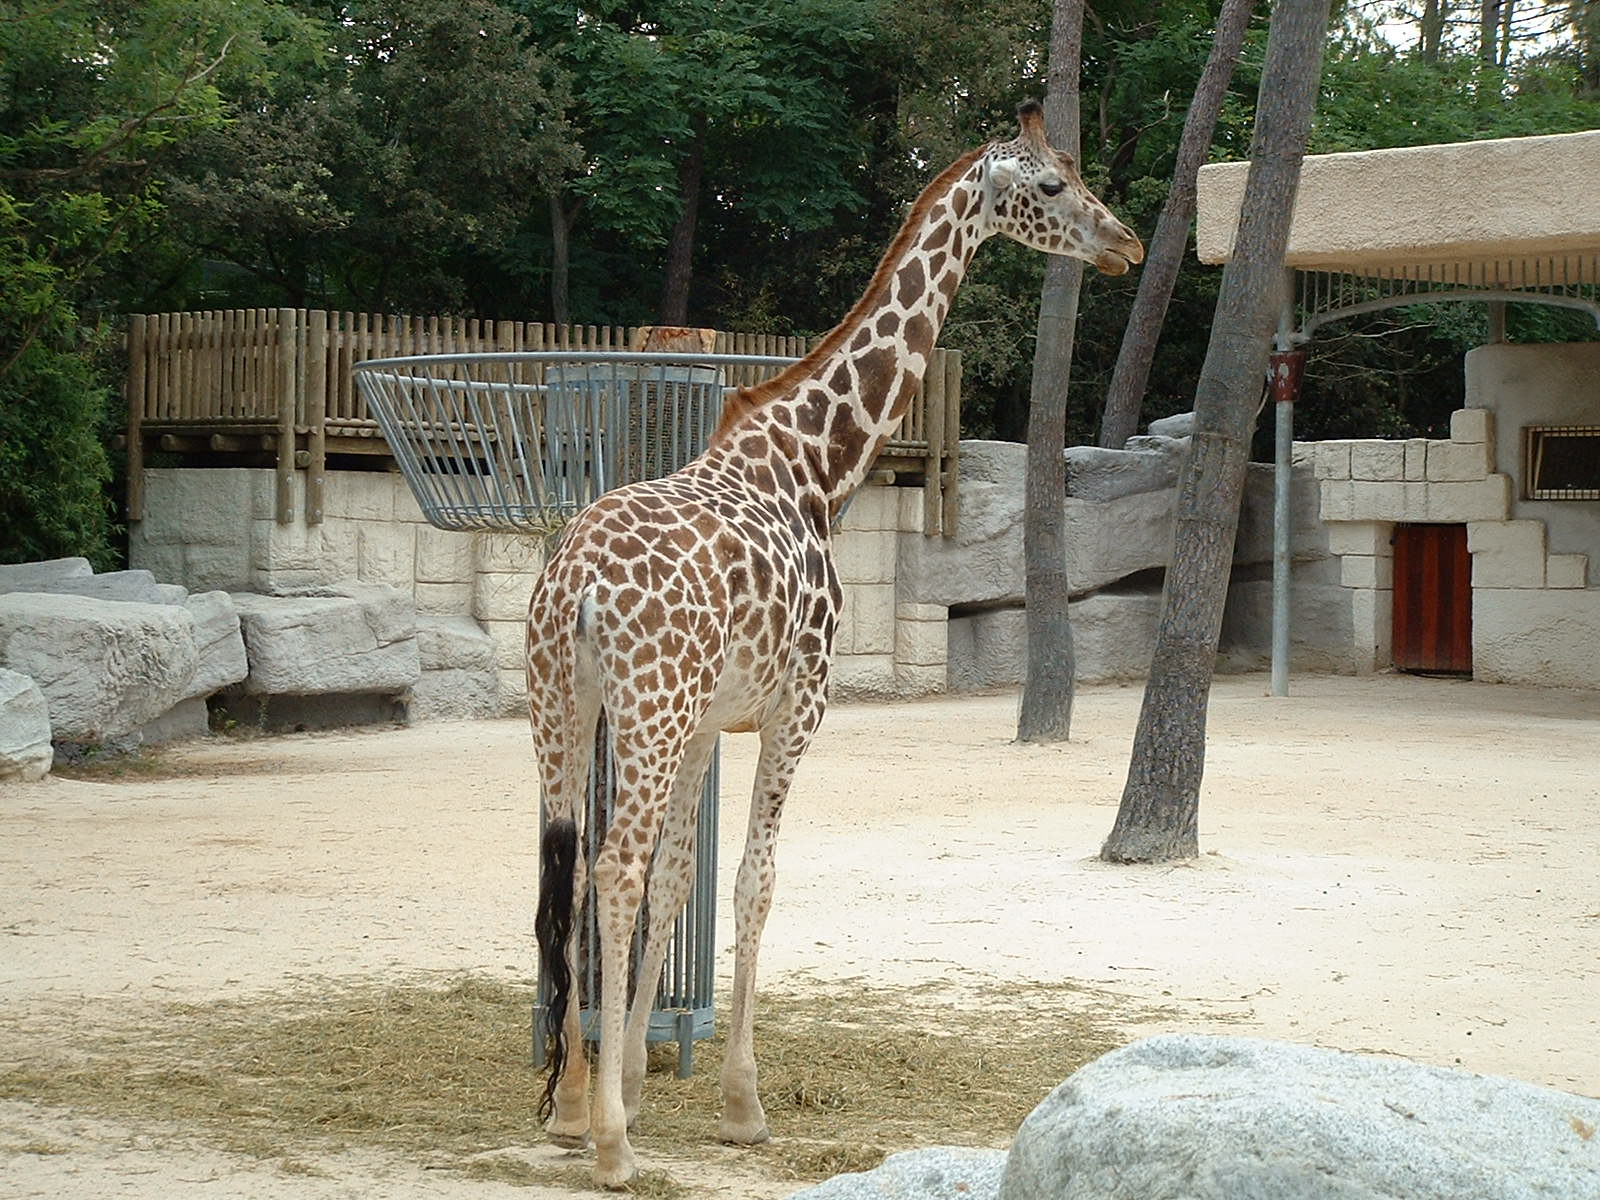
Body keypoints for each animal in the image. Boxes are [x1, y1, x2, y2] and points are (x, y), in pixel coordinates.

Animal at [524, 98, 1139, 1190]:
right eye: (1053, 184)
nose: (1127, 244)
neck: (817, 465)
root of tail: (577, 585)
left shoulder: (704, 724)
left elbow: (683, 879)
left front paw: (633, 1079)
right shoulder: (796, 707)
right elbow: (752, 881)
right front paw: (739, 1107)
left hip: (565, 707)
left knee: (565, 867)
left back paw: (565, 1109)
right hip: (637, 713)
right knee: (613, 868)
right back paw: (608, 1148)